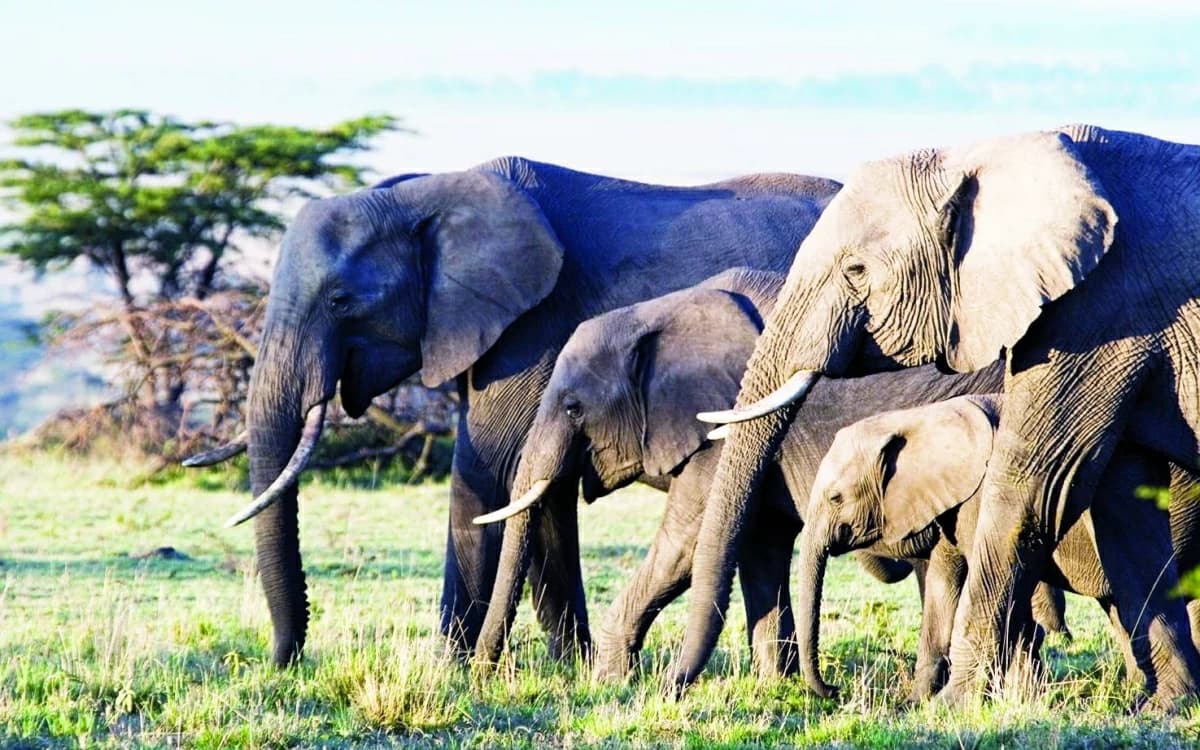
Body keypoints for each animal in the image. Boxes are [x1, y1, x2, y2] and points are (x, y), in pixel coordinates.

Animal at [186, 157, 843, 666]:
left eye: (341, 301)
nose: (284, 661)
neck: (426, 194)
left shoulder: (532, 324)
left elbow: (488, 471)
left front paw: (450, 670)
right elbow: (538, 489)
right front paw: (568, 666)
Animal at [469, 267, 1066, 678]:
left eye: (573, 409)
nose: (484, 673)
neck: (664, 310)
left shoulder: (721, 432)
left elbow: (686, 548)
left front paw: (610, 683)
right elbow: (761, 548)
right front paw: (774, 684)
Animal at [798, 394, 1200, 705]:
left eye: (836, 498)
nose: (834, 690)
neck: (919, 417)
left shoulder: (983, 495)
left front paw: (1021, 700)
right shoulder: (952, 502)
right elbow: (943, 588)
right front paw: (914, 704)